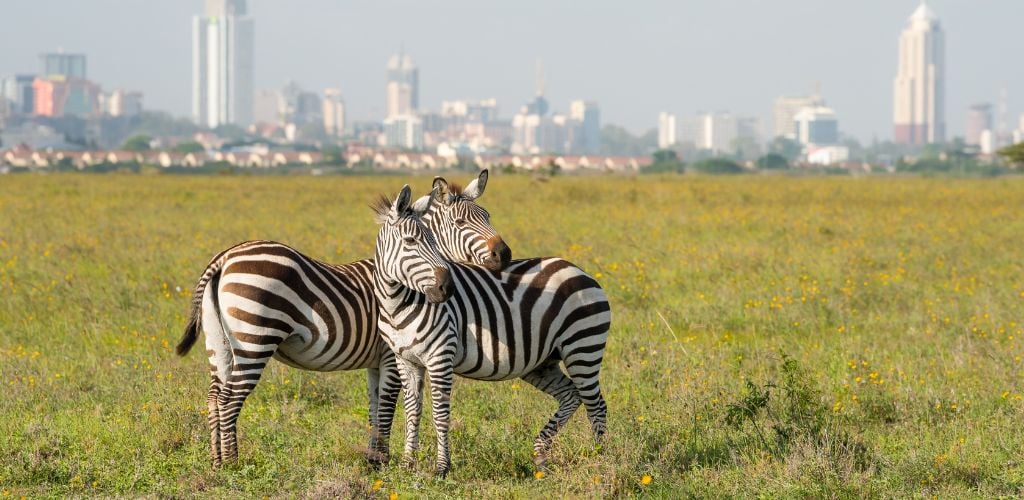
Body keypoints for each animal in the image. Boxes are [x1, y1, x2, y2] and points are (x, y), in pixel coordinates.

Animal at [178, 171, 509, 469]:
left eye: (488, 215)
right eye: (461, 223)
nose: (504, 255)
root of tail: (225, 257)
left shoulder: (376, 362)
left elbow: (375, 408)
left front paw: (373, 460)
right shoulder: (391, 355)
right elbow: (387, 407)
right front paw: (381, 461)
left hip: (219, 343)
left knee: (214, 397)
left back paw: (216, 462)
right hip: (254, 339)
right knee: (229, 399)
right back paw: (232, 463)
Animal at [372, 182, 610, 477]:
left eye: (433, 242)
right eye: (410, 242)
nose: (447, 288)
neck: (398, 304)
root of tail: (580, 270)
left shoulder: (440, 357)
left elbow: (440, 414)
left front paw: (442, 468)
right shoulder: (406, 360)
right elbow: (412, 411)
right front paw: (407, 465)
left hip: (583, 347)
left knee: (596, 405)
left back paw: (601, 460)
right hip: (542, 362)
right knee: (571, 395)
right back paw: (541, 456)